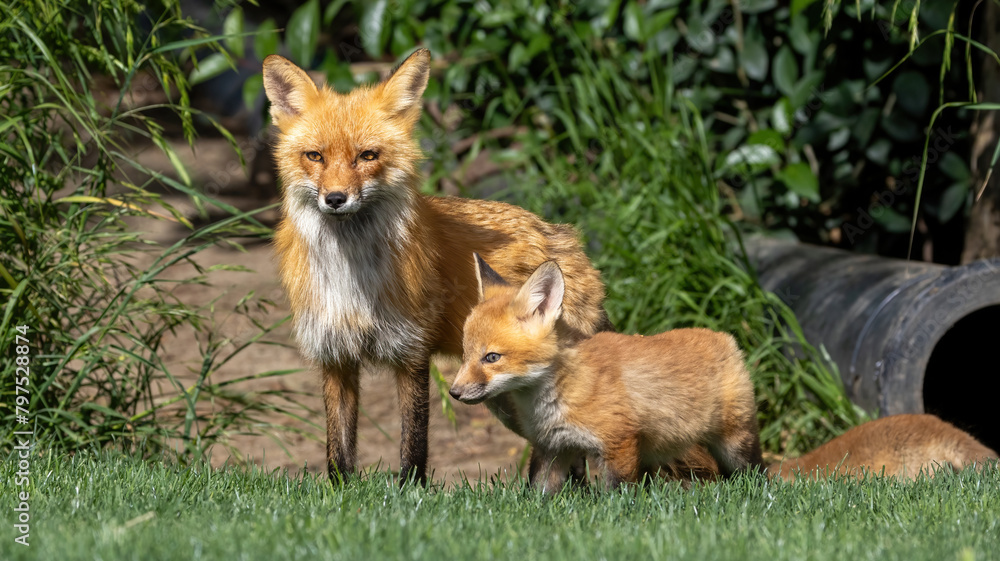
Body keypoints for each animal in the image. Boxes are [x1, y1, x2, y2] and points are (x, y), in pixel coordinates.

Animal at [261, 49, 613, 484]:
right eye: (315, 156)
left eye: (367, 156)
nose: (336, 198)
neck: (352, 277)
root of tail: (564, 238)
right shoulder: (334, 355)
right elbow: (339, 454)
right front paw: (341, 491)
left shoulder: (411, 350)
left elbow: (414, 442)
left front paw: (411, 490)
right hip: (500, 395)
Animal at [449, 256, 765, 491]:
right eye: (465, 355)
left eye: (491, 357)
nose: (454, 392)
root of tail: (724, 337)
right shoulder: (551, 449)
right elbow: (537, 494)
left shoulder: (618, 444)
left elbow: (617, 496)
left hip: (735, 443)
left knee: (755, 474)